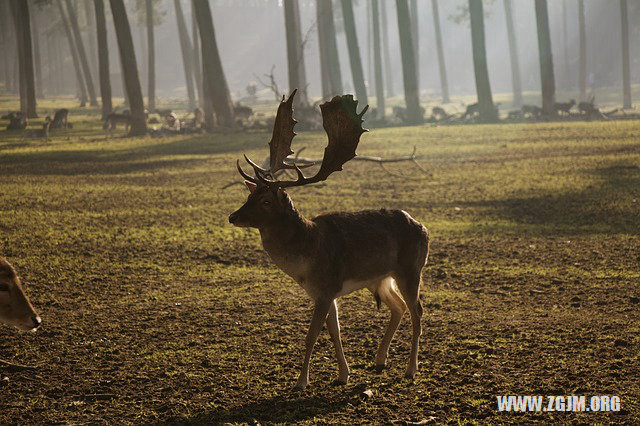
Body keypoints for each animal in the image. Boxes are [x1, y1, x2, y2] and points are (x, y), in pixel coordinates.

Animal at [229, 89, 430, 390]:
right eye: (250, 195)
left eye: (265, 201)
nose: (233, 216)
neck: (304, 260)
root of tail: (423, 227)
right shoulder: (325, 292)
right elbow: (334, 331)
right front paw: (343, 375)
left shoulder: (325, 288)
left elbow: (312, 335)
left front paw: (301, 381)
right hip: (380, 278)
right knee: (399, 306)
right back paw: (380, 360)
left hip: (411, 269)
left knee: (418, 311)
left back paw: (411, 369)